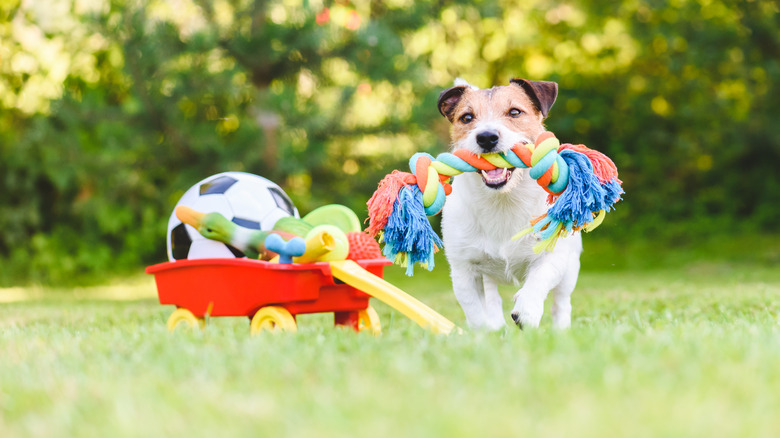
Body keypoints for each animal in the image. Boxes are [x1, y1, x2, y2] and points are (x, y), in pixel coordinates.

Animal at [438, 78, 580, 330]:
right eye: (467, 117)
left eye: (514, 112)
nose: (486, 137)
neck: (503, 200)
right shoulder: (464, 270)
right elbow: (476, 312)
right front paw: (485, 334)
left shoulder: (553, 255)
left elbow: (539, 278)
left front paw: (526, 310)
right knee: (492, 301)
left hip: (571, 268)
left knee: (561, 303)